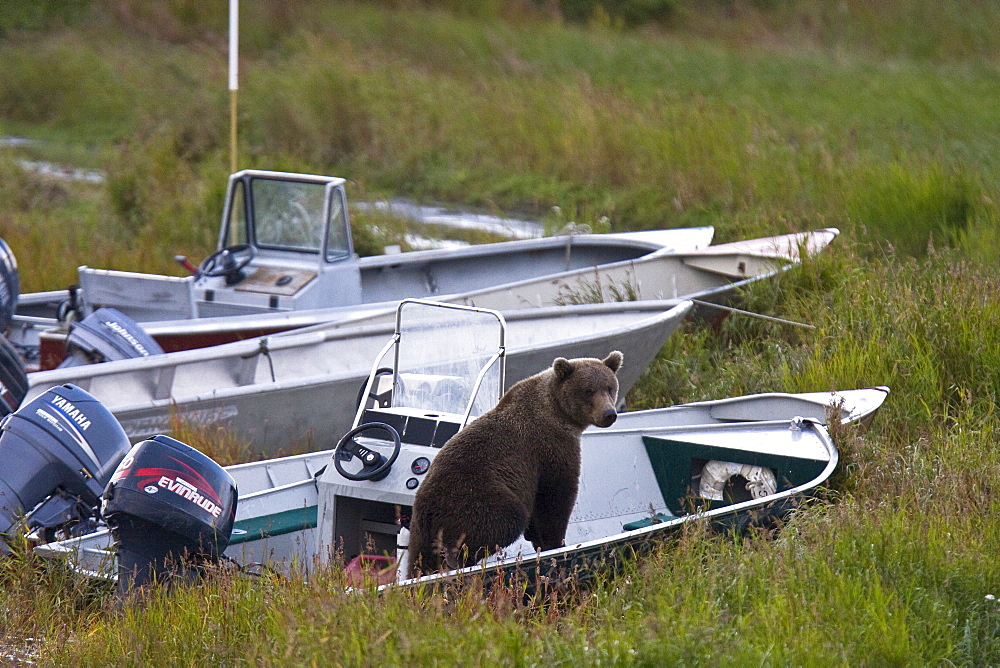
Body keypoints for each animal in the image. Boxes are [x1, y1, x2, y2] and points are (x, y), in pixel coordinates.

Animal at [408, 350, 624, 580]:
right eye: (588, 390)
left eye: (609, 387)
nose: (609, 414)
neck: (557, 412)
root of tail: (428, 511)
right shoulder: (549, 449)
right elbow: (556, 498)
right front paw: (556, 543)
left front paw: (539, 540)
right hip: (475, 499)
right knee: (499, 524)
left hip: (419, 530)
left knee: (418, 559)